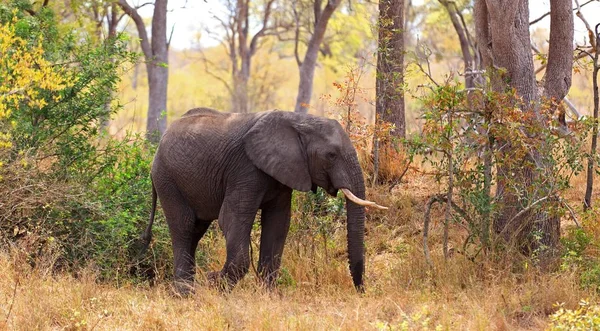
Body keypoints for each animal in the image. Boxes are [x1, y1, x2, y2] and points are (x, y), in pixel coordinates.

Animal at [141, 108, 386, 296]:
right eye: (331, 155)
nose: (361, 291)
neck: (299, 120)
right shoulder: (245, 169)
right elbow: (232, 219)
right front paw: (215, 283)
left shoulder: (284, 172)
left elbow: (278, 224)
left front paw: (268, 295)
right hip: (167, 179)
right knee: (183, 227)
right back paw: (185, 294)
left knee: (195, 230)